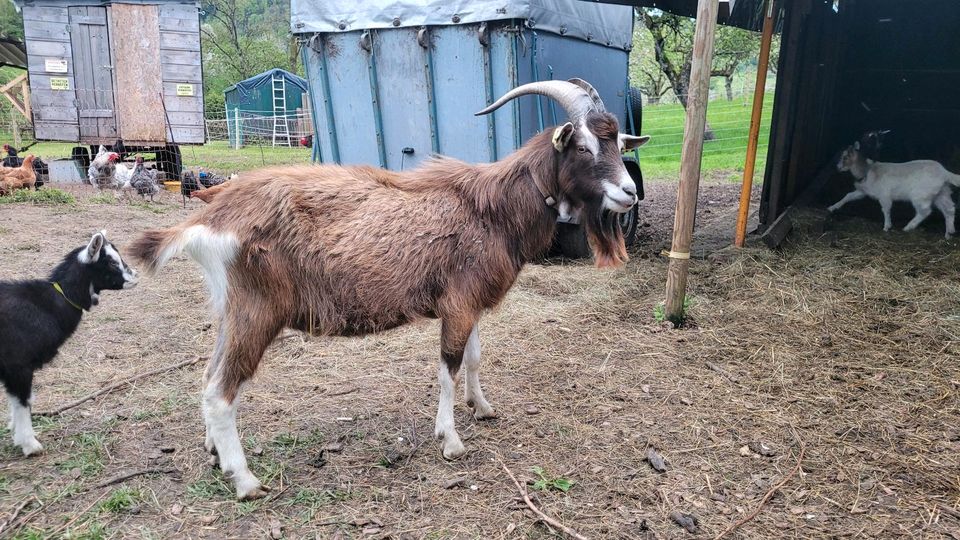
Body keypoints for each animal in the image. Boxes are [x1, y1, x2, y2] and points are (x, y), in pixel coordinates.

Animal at [129, 80, 652, 502]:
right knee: (221, 392)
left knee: (207, 377)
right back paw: (245, 481)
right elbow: (448, 367)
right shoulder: (457, 303)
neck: (492, 208)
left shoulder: (470, 304)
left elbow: (474, 359)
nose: (630, 193)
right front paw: (450, 440)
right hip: (257, 311)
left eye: (616, 141)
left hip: (230, 310)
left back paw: (215, 454)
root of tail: (207, 218)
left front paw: (482, 408)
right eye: (583, 146)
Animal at [824, 141, 960, 238]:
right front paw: (832, 207)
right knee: (949, 209)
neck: (868, 170)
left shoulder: (884, 195)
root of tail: (944, 173)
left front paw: (887, 226)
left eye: (845, 157)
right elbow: (848, 196)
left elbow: (886, 209)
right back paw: (949, 233)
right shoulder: (863, 191)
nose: (837, 167)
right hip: (941, 193)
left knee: (925, 211)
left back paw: (908, 227)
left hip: (921, 194)